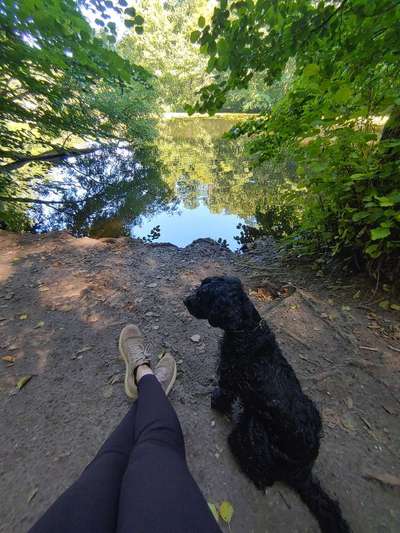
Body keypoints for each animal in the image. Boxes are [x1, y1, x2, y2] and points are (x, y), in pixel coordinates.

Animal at [185, 276, 350, 532]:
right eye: (201, 287)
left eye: (203, 296)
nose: (186, 300)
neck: (247, 331)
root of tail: (303, 470)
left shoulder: (229, 378)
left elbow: (223, 395)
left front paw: (216, 404)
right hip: (312, 409)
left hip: (255, 427)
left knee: (264, 476)